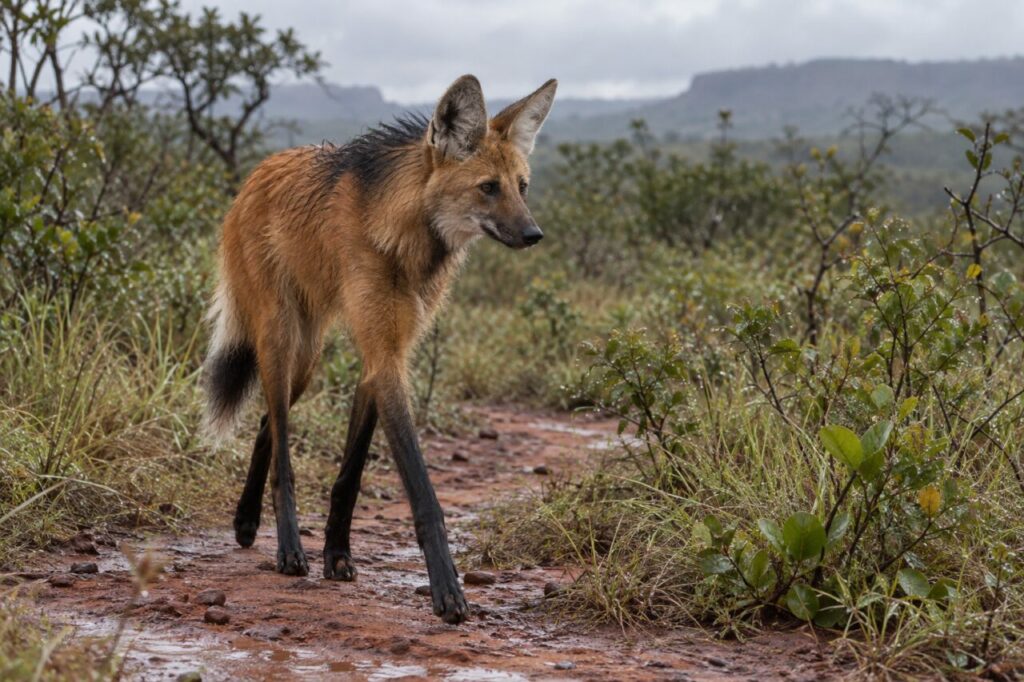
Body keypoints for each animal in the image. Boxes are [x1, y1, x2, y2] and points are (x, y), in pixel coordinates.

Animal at [202, 75, 557, 624]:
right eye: (487, 187)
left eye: (521, 187)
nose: (533, 234)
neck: (405, 238)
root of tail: (253, 176)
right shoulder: (386, 358)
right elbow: (421, 490)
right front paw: (447, 591)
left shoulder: (383, 355)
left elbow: (350, 473)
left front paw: (337, 554)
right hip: (283, 338)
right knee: (281, 444)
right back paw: (288, 549)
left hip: (307, 355)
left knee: (266, 424)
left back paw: (245, 522)